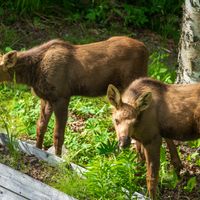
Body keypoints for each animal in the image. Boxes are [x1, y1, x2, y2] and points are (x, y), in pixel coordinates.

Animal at [0, 36, 148, 155]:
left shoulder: (62, 97)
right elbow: (40, 127)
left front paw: (58, 158)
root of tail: (146, 49)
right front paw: (38, 149)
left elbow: (58, 135)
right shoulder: (47, 98)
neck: (32, 74)